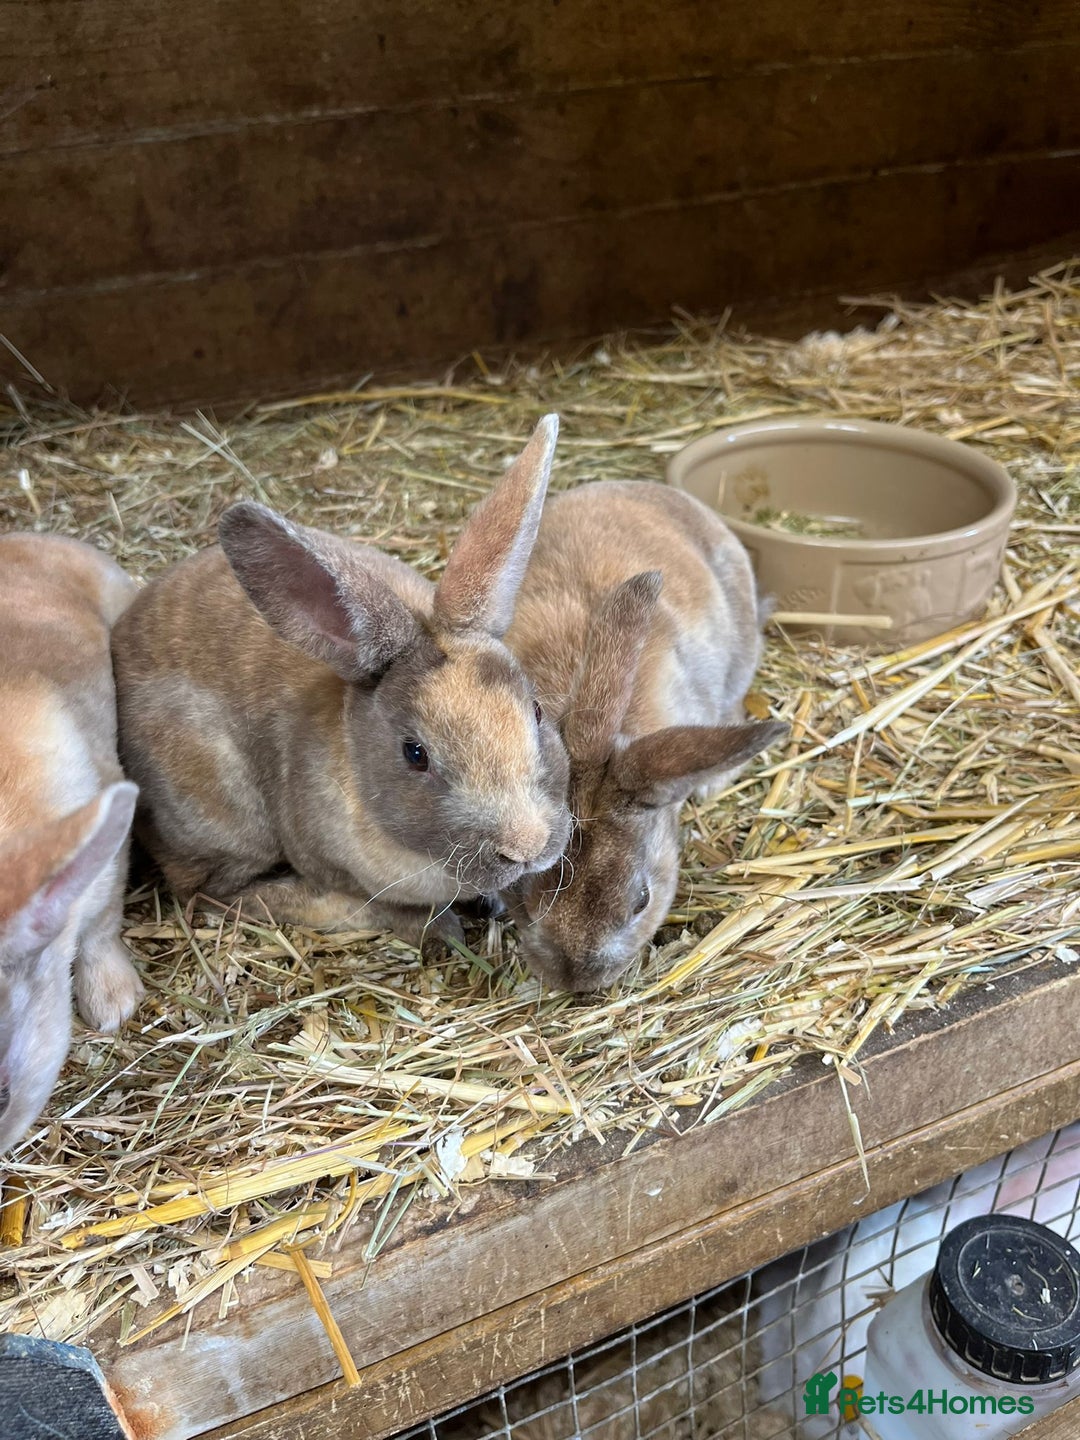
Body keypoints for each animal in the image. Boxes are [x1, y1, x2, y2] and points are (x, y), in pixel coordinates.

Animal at [110, 417, 572, 952]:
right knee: (209, 893)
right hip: (223, 821)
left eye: (535, 711)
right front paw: (439, 927)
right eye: (415, 754)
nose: (527, 845)